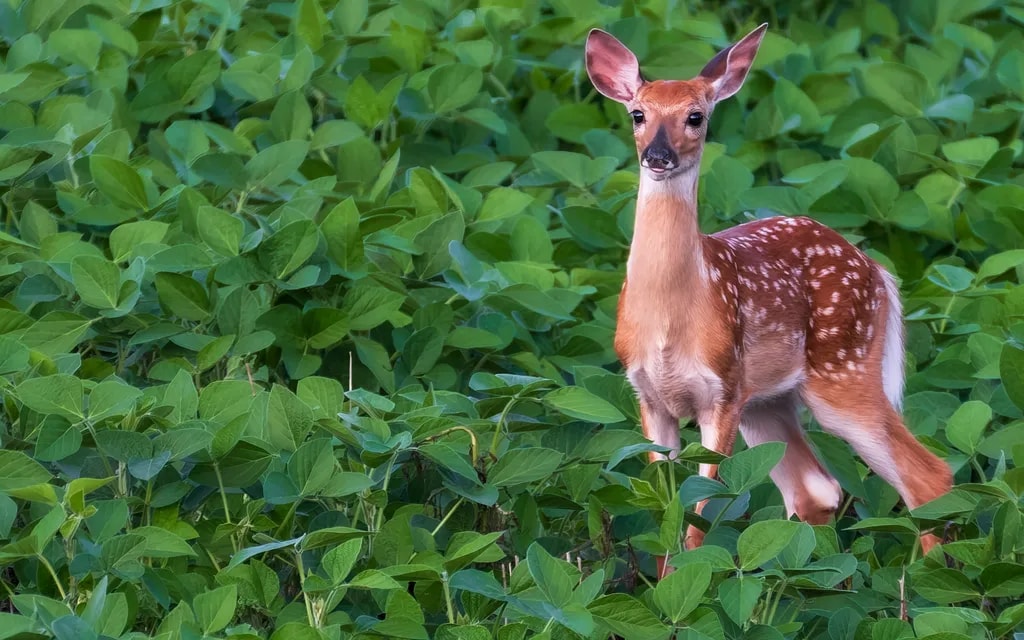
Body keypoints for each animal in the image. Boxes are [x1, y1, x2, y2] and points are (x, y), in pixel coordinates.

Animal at [584, 24, 953, 576]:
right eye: (638, 114)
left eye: (696, 116)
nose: (658, 156)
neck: (671, 319)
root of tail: (877, 269)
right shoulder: (648, 395)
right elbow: (666, 508)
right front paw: (664, 583)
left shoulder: (722, 390)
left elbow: (698, 513)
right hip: (770, 400)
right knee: (817, 489)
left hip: (842, 369)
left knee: (928, 475)